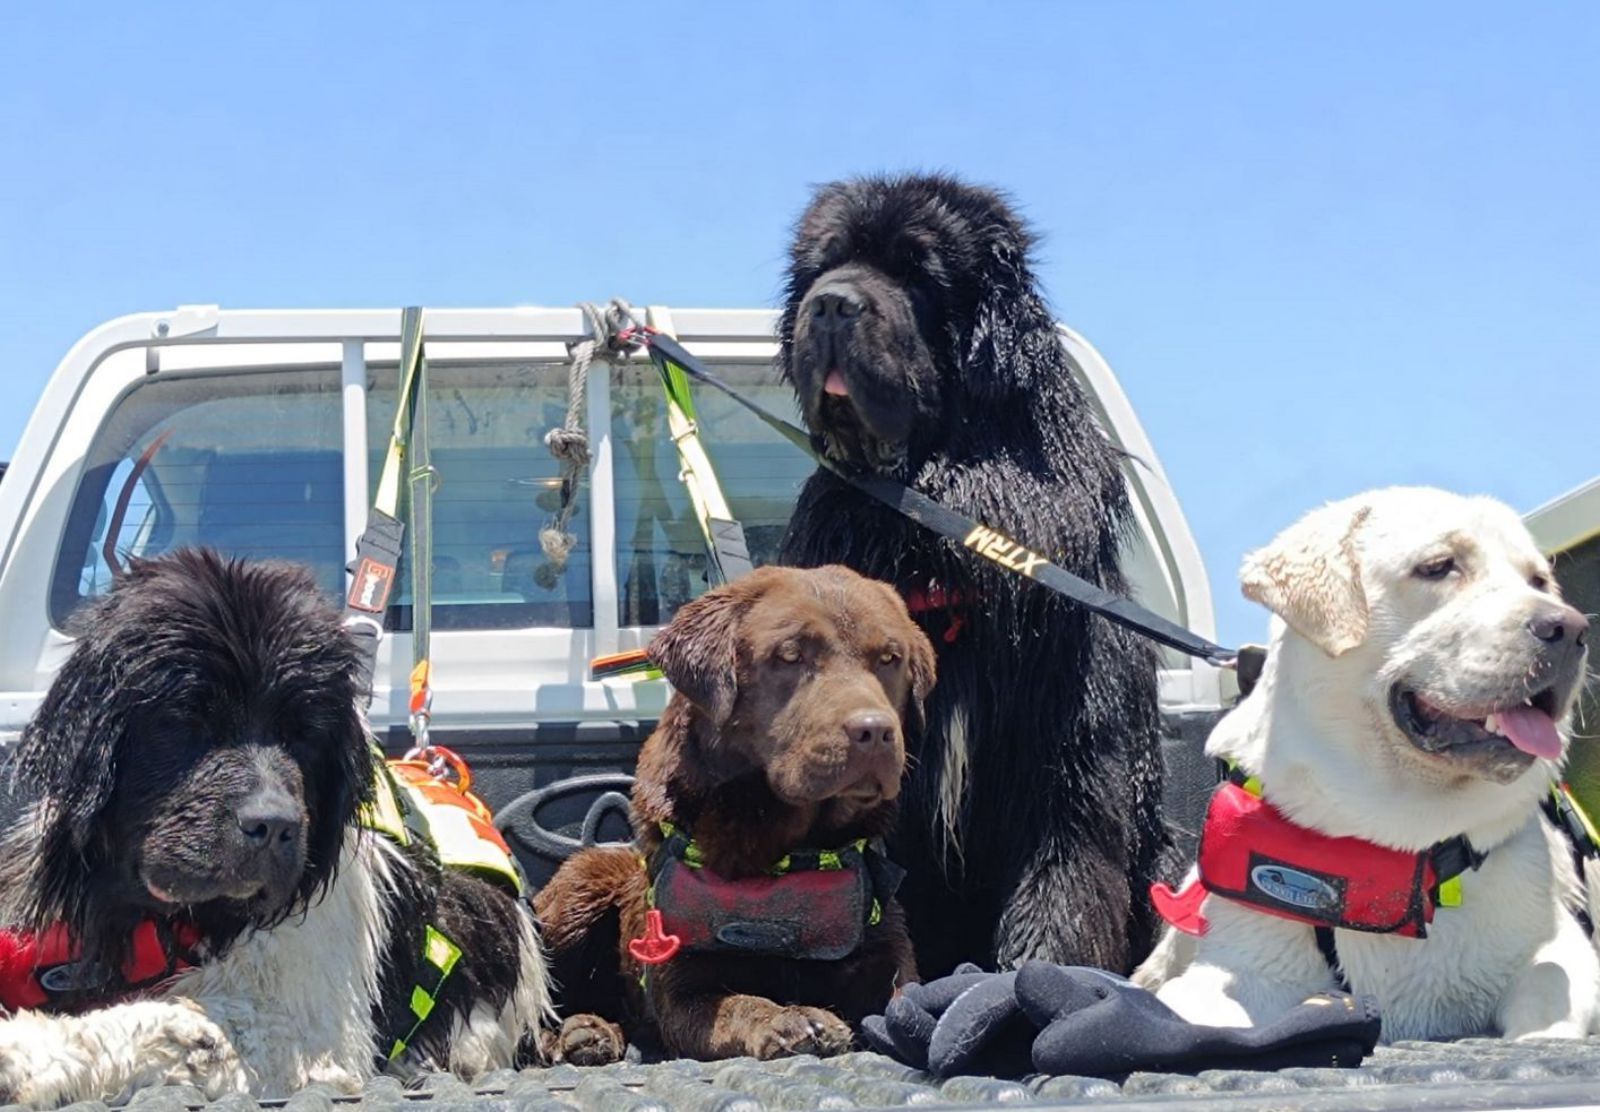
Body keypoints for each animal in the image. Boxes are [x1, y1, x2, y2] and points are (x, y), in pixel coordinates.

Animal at [0, 553, 547, 1107]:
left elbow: (182, 1025)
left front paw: (23, 1051)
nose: (275, 824)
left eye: (303, 735)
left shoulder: (310, 1027)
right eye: (187, 720)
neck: (170, 918)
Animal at [540, 569, 934, 1068]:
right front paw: (789, 1019)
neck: (788, 848)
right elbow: (735, 1003)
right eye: (790, 654)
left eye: (889, 658)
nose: (875, 730)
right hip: (581, 883)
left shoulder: (887, 950)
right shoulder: (680, 984)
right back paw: (577, 1032)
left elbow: (909, 995)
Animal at [777, 169, 1177, 979]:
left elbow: (1062, 882)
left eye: (916, 273)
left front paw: (1035, 980)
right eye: (824, 264)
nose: (829, 303)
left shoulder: (1067, 758)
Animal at [1132, 486, 1593, 1043]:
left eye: (1538, 581)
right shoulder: (1243, 967)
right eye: (1439, 567)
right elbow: (1188, 1009)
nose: (1571, 628)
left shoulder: (1562, 947)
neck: (1405, 837)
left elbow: (1547, 982)